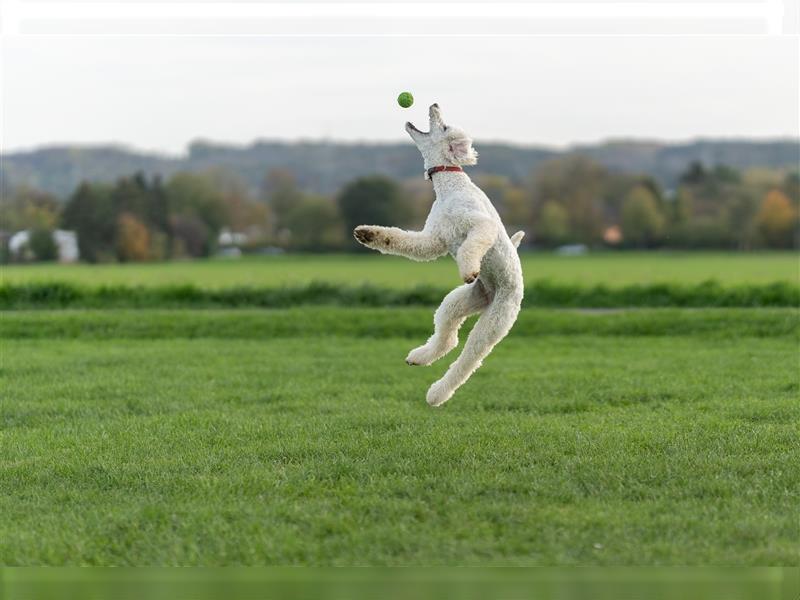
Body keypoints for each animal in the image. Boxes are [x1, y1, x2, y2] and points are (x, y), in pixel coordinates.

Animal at [354, 104, 520, 408]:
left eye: (443, 127)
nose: (434, 105)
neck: (449, 185)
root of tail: (492, 296)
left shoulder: (481, 225)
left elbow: (472, 243)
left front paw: (468, 268)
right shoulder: (434, 239)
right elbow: (404, 240)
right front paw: (368, 234)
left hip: (494, 322)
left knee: (467, 359)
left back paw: (437, 394)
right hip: (458, 301)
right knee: (448, 338)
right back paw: (419, 357)